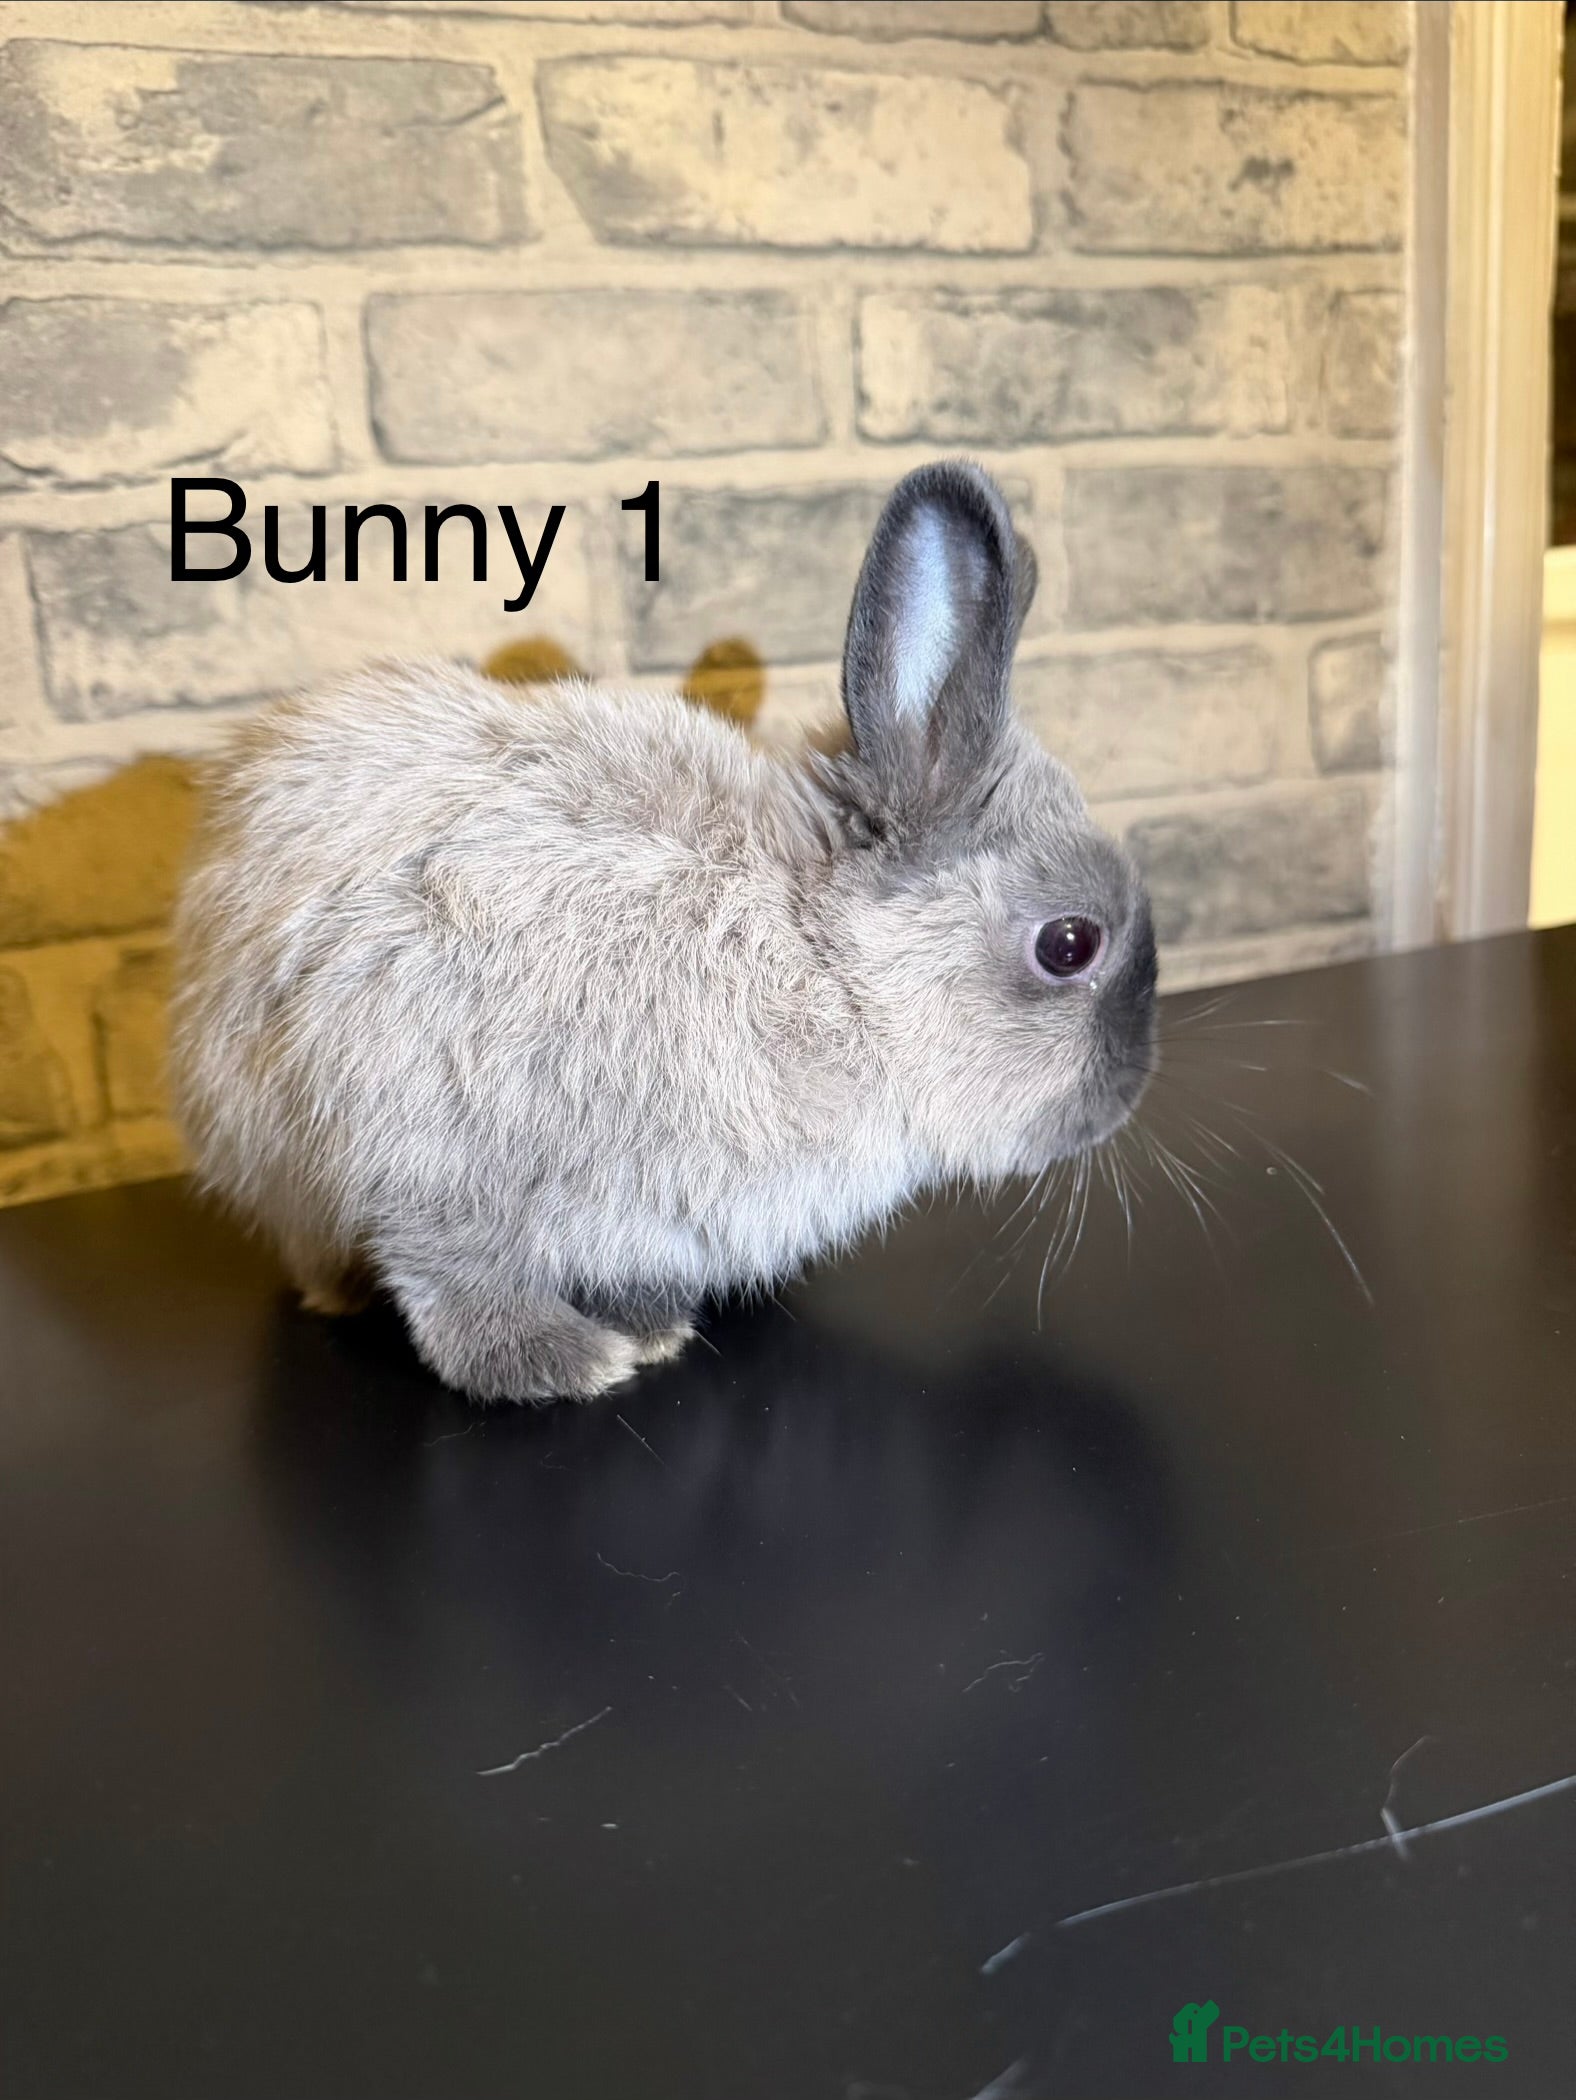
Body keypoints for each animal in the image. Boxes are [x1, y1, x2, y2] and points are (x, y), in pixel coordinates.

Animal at [170, 462, 1158, 1404]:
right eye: (1070, 946)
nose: (1126, 1093)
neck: (823, 969)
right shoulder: (423, 1137)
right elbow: (454, 1279)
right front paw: (558, 1363)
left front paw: (651, 1327)